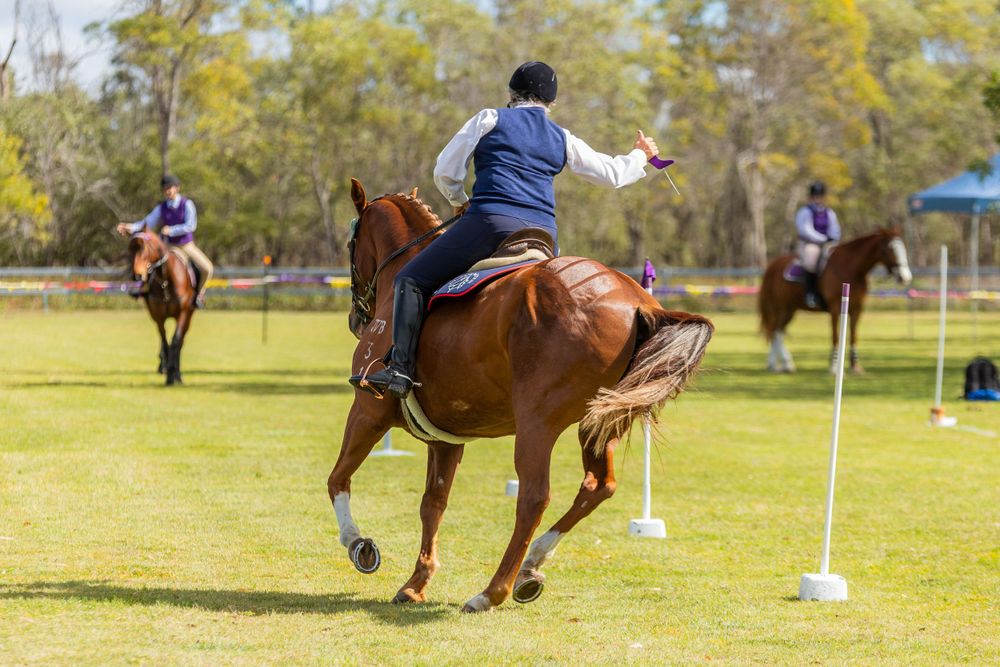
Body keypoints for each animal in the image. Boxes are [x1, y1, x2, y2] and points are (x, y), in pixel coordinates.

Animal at [127, 232, 198, 386]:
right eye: (130, 250)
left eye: (145, 249)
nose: (137, 275)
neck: (166, 281)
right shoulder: (158, 317)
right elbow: (165, 343)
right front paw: (168, 374)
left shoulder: (182, 314)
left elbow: (175, 341)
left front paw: (174, 375)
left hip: (188, 317)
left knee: (180, 342)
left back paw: (177, 373)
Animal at [328, 179, 713, 613]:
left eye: (350, 241)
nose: (355, 318)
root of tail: (637, 301)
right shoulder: (446, 441)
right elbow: (433, 505)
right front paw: (416, 583)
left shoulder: (368, 412)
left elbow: (338, 479)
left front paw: (359, 545)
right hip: (599, 422)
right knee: (599, 485)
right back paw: (531, 567)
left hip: (536, 423)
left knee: (533, 497)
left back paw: (492, 591)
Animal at [759, 229, 912, 374]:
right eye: (889, 249)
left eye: (903, 247)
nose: (905, 277)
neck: (852, 269)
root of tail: (772, 266)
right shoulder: (835, 309)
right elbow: (836, 337)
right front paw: (833, 367)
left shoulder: (857, 309)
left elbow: (854, 336)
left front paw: (855, 366)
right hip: (780, 307)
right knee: (775, 331)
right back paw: (781, 363)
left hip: (790, 309)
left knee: (777, 331)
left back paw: (778, 364)